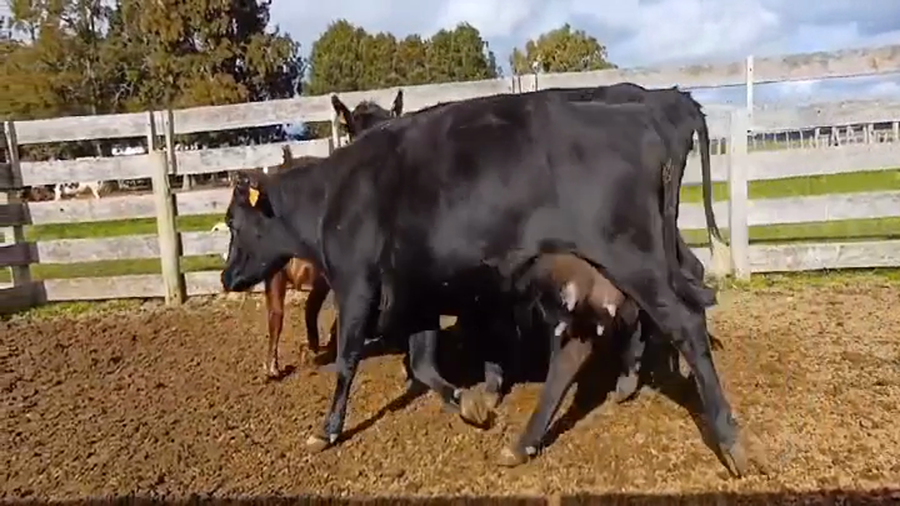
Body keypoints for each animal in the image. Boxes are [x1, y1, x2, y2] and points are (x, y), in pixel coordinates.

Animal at [220, 91, 748, 477]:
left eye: (231, 222)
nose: (226, 276)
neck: (337, 194)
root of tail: (642, 115)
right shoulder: (418, 292)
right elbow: (423, 364)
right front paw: (472, 402)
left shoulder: (357, 284)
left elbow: (348, 361)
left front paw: (328, 429)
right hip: (587, 276)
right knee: (576, 349)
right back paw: (530, 440)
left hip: (635, 261)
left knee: (685, 323)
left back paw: (730, 440)